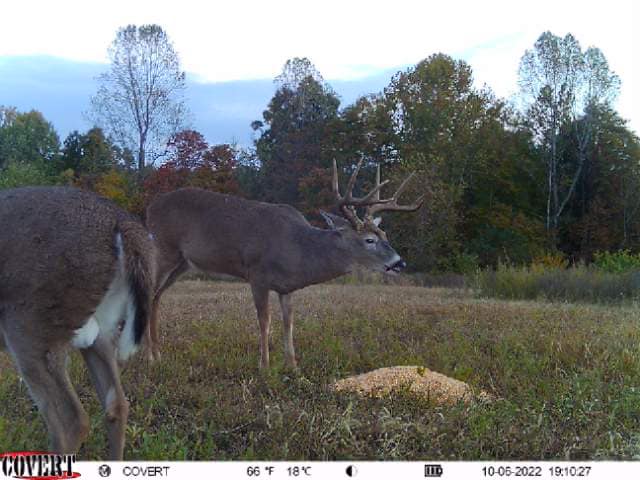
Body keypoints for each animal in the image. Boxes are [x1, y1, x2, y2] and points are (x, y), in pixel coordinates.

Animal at [145, 159, 423, 369]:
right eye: (369, 240)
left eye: (385, 235)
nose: (400, 263)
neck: (298, 250)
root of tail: (150, 207)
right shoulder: (257, 275)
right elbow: (264, 321)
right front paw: (265, 367)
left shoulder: (286, 287)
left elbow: (289, 322)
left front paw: (293, 366)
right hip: (164, 250)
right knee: (148, 292)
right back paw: (151, 357)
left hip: (183, 263)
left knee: (156, 296)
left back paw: (157, 353)